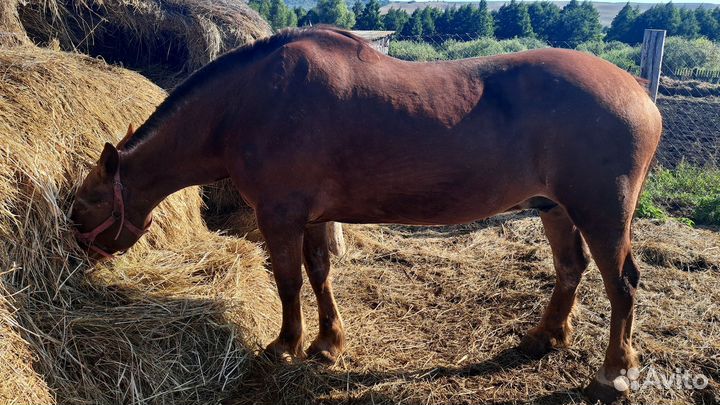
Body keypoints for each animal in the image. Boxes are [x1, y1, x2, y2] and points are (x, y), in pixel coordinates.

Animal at [71, 27, 662, 403]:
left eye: (84, 206)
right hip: (554, 209)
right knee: (570, 269)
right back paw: (545, 336)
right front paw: (327, 344)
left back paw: (613, 374)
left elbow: (288, 281)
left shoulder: (279, 217)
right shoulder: (310, 217)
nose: (82, 259)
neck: (246, 105)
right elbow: (318, 274)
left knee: (622, 284)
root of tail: (636, 89)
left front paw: (285, 346)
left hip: (602, 213)